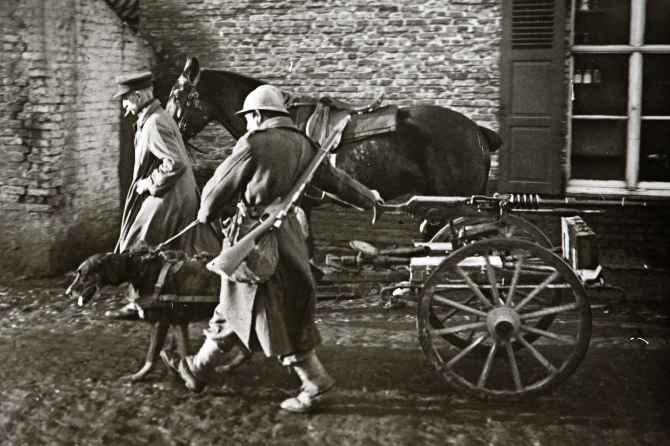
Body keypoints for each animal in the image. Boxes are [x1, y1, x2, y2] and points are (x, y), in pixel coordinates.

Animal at [65, 249, 249, 382]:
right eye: (77, 273)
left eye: (84, 274)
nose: (68, 292)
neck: (139, 271)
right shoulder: (175, 322)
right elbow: (176, 352)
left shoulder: (164, 322)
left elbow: (156, 355)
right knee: (245, 350)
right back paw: (227, 367)